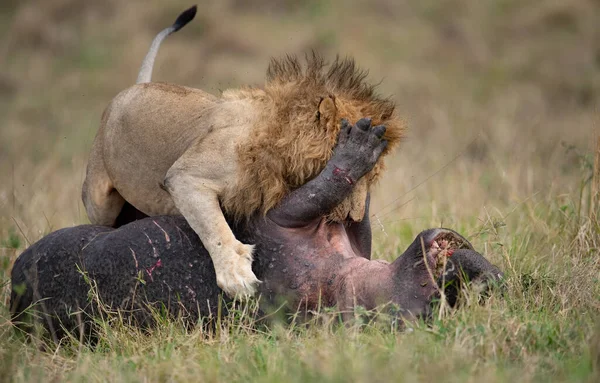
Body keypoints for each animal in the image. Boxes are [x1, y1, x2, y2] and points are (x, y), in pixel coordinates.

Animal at [82, 6, 406, 300]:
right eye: (365, 173)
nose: (352, 218)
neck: (280, 139)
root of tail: (134, 87)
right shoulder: (185, 178)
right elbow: (214, 228)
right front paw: (235, 276)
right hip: (98, 197)